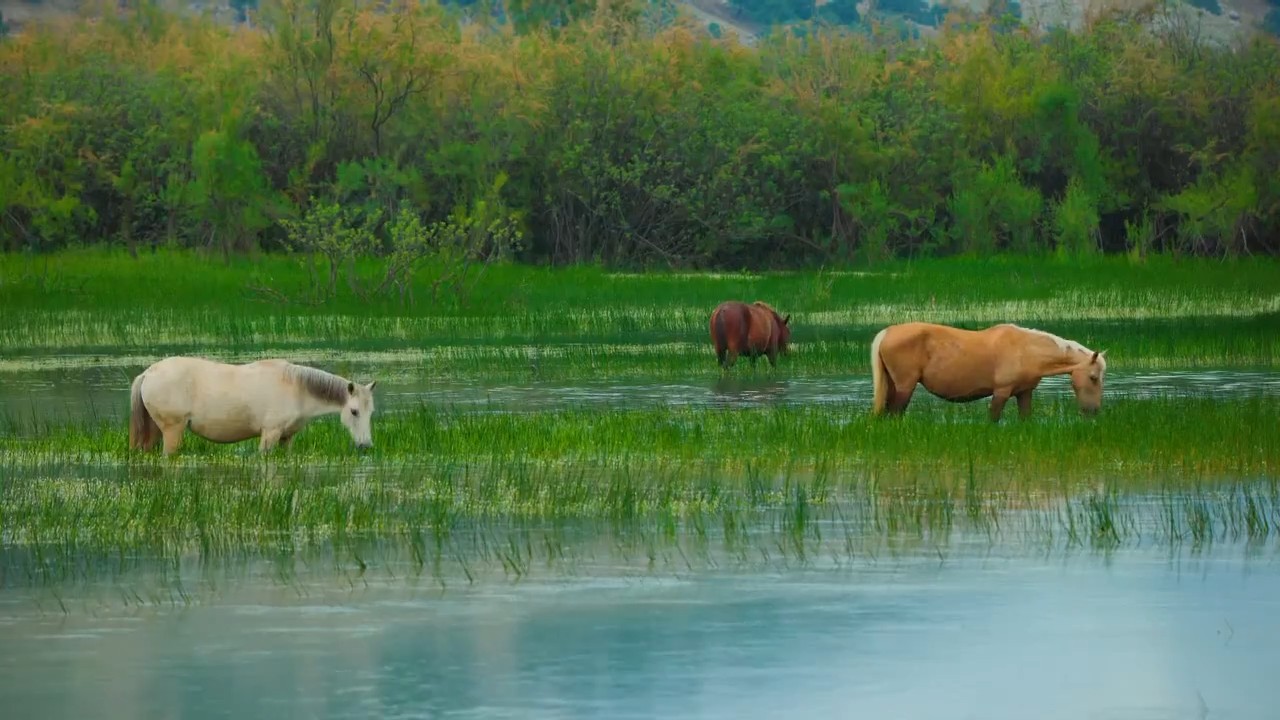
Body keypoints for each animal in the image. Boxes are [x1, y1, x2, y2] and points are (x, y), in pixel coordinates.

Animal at [131, 353, 378, 453]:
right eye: (354, 411)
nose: (365, 445)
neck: (296, 388)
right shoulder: (270, 434)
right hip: (173, 431)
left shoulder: (287, 438)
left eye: (370, 412)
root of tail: (147, 373)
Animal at [870, 320, 1111, 420]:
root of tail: (887, 332)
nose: (1093, 411)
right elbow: (993, 419)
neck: (1026, 350)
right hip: (905, 386)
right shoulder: (1001, 392)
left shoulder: (1024, 393)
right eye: (1093, 377)